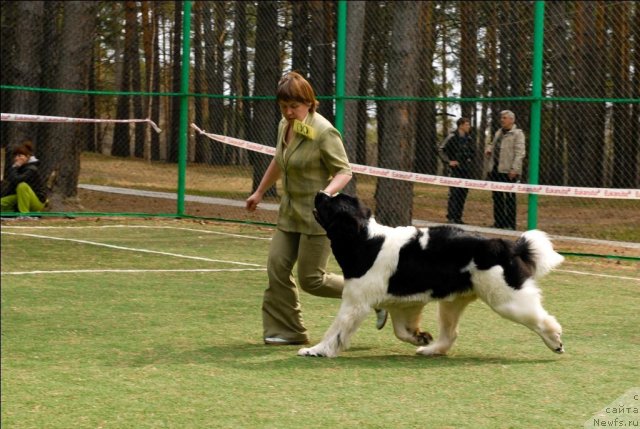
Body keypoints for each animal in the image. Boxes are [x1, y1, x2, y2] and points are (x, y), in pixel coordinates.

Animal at [298, 192, 564, 356]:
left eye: (331, 204)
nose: (320, 192)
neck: (364, 239)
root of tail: (506, 245)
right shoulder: (403, 304)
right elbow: (401, 330)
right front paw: (421, 337)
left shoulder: (354, 303)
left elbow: (337, 331)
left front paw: (316, 351)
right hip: (451, 303)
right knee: (451, 333)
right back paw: (431, 349)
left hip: (506, 299)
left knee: (541, 319)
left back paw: (555, 340)